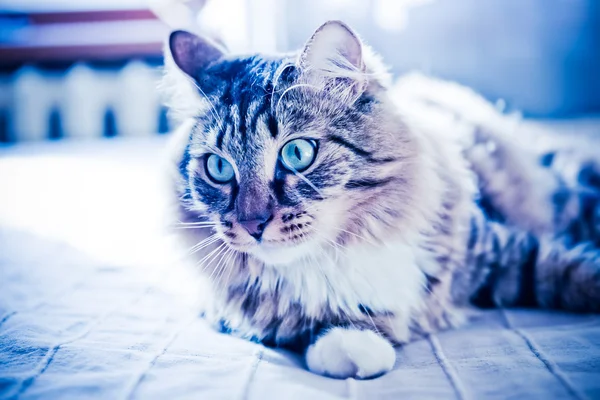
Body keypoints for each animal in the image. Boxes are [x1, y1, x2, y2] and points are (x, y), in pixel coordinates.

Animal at [161, 21, 600, 378]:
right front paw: (354, 346)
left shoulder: (502, 251)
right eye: (219, 167)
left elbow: (574, 272)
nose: (252, 224)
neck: (349, 245)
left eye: (297, 153)